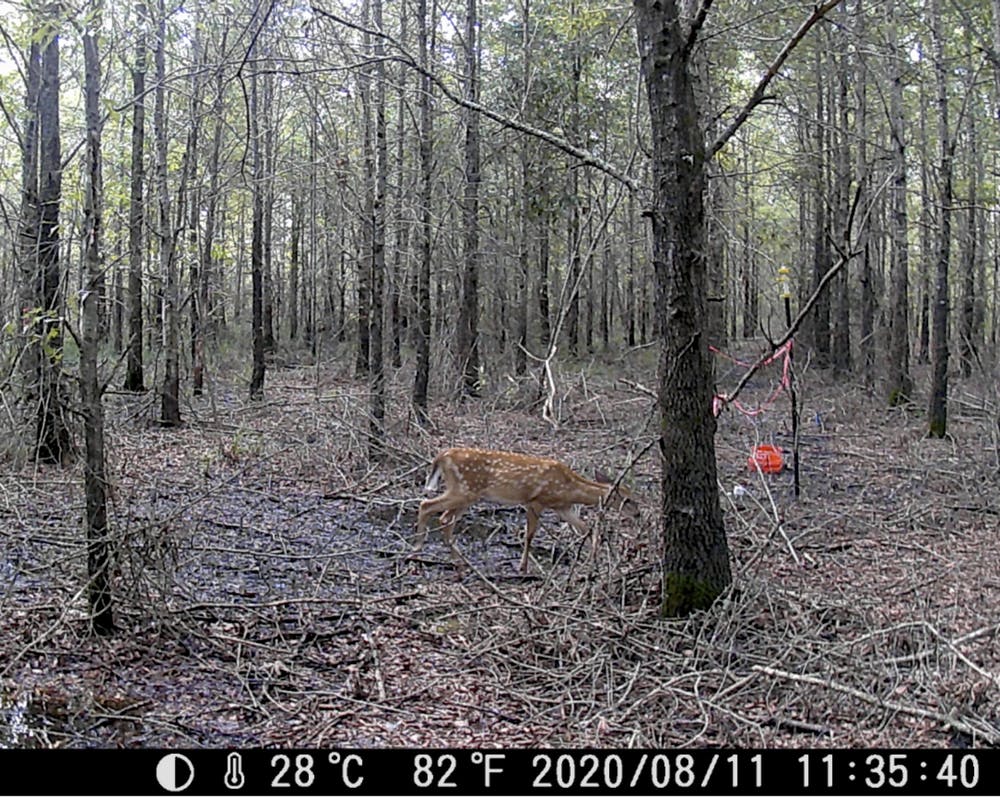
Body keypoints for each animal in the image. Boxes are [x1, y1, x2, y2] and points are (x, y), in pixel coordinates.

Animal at [412, 448, 632, 572]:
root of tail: (442, 456)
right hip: (464, 490)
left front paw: (594, 560)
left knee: (444, 518)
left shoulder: (562, 507)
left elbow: (585, 527)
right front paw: (523, 566)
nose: (637, 514)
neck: (569, 488)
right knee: (426, 505)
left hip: (466, 494)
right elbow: (529, 535)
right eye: (629, 500)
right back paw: (417, 551)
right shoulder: (536, 501)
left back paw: (458, 561)